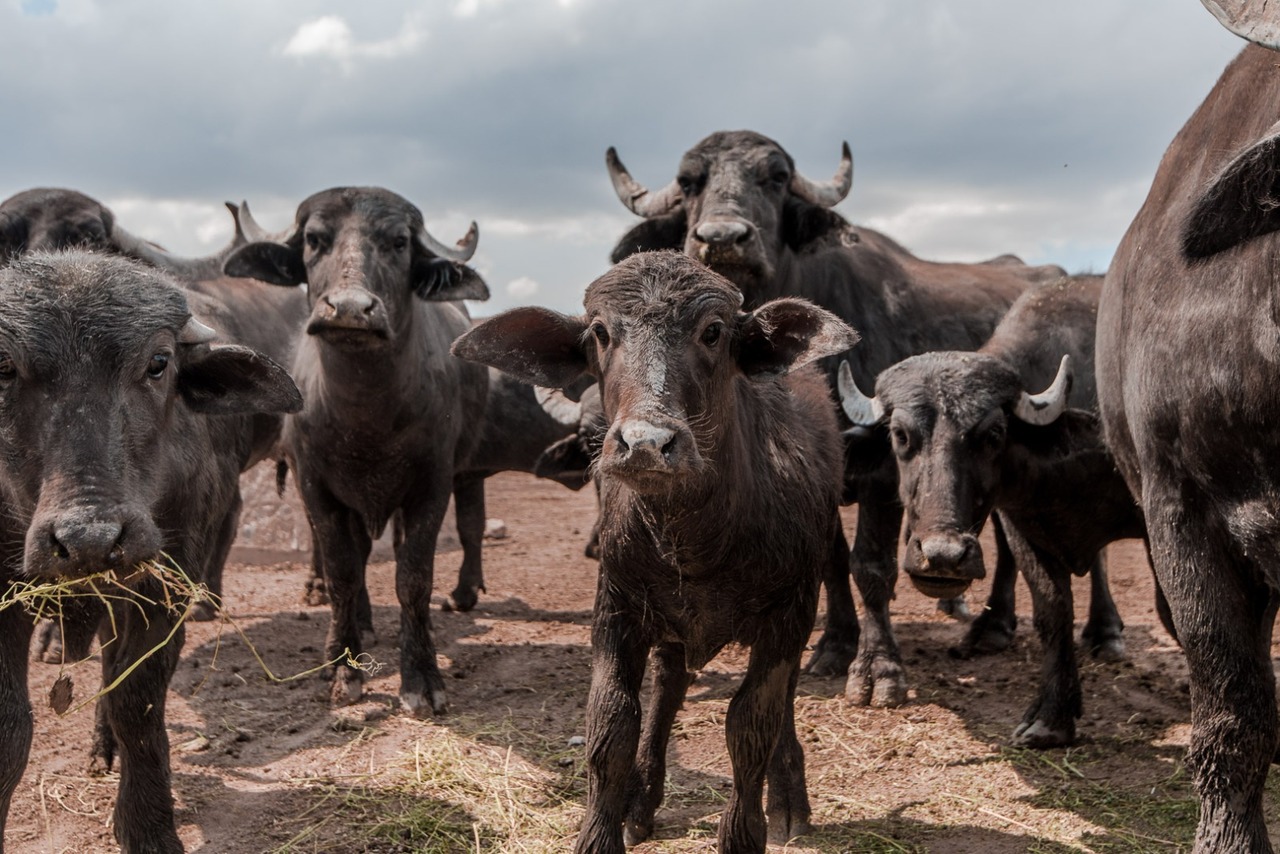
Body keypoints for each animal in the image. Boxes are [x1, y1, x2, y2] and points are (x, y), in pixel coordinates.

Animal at [0, 250, 299, 850]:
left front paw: (147, 826)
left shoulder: (164, 586)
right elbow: (10, 725)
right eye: (3, 367)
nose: (90, 538)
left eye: (158, 363)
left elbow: (135, 702)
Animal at [224, 185, 488, 717]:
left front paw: (422, 677)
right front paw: (344, 668)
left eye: (400, 241)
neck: (367, 417)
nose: (348, 308)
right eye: (314, 239)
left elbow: (413, 578)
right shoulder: (317, 488)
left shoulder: (432, 486)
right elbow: (343, 572)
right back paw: (354, 633)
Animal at [604, 130, 1064, 706]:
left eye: (775, 178)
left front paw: (877, 668)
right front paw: (835, 645)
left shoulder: (885, 474)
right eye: (689, 182)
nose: (723, 238)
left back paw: (993, 627)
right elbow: (830, 561)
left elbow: (871, 565)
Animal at [844, 275, 1136, 747]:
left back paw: (1104, 632)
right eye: (900, 435)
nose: (942, 556)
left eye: (993, 434)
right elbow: (1049, 600)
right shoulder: (1020, 516)